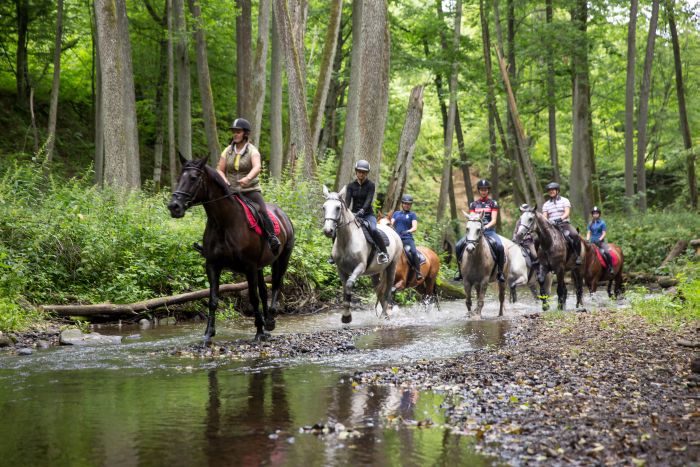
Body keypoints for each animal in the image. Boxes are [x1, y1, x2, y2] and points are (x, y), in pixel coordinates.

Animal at [169, 156, 296, 344]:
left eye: (193, 178)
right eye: (179, 178)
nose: (174, 206)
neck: (224, 222)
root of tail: (283, 215)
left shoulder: (249, 267)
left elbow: (253, 298)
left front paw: (259, 332)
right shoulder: (213, 265)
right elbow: (213, 299)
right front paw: (208, 334)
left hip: (282, 258)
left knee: (276, 285)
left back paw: (270, 321)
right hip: (260, 267)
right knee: (264, 291)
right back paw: (266, 324)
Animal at [322, 185, 402, 324]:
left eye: (338, 208)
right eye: (324, 207)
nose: (328, 230)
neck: (347, 240)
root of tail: (393, 231)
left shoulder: (360, 267)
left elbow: (349, 284)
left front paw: (346, 317)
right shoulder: (341, 269)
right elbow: (345, 288)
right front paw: (346, 316)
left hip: (392, 266)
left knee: (387, 291)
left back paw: (384, 316)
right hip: (376, 273)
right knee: (379, 292)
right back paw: (384, 315)